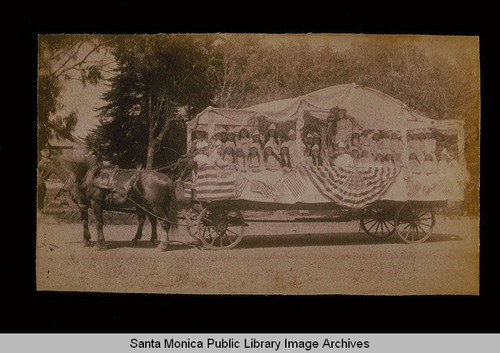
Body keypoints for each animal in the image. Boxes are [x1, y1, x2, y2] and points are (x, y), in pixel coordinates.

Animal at [40, 155, 179, 250]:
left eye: (41, 165)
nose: (40, 181)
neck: (86, 178)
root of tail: (168, 179)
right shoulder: (83, 205)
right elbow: (85, 222)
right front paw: (87, 241)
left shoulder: (95, 204)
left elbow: (99, 223)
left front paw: (99, 244)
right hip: (145, 205)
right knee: (150, 220)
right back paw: (146, 239)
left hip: (156, 206)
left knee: (163, 222)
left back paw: (162, 245)